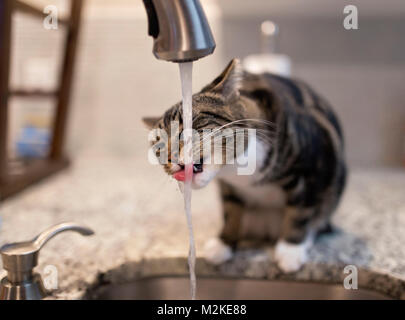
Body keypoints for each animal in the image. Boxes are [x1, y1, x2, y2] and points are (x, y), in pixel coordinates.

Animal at [142, 58, 344, 272]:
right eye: (158, 145)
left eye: (185, 128)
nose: (169, 158)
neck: (237, 168)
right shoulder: (229, 188)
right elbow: (232, 211)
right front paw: (224, 242)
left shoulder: (309, 169)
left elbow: (300, 211)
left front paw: (291, 250)